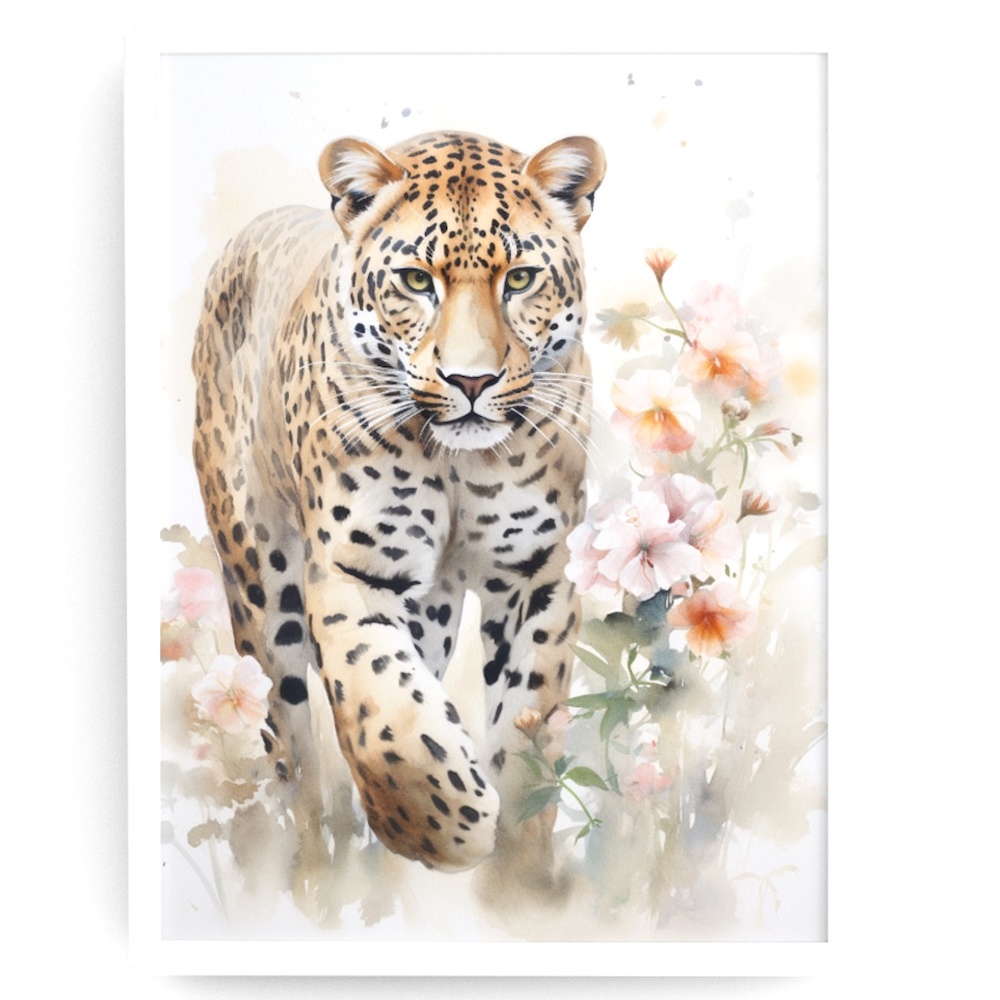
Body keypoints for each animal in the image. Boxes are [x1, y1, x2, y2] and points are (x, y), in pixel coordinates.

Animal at [192, 129, 605, 880]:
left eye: (520, 279)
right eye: (416, 281)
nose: (471, 380)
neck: (459, 463)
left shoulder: (535, 577)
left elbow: (528, 729)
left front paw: (517, 870)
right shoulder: (353, 571)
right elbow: (384, 712)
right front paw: (442, 832)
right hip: (258, 583)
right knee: (290, 740)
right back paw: (310, 858)